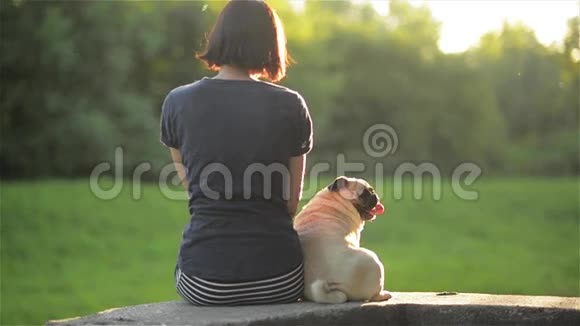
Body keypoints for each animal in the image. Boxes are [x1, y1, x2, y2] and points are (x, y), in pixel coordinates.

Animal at [292, 176, 392, 304]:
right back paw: (383, 295)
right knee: (374, 295)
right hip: (373, 261)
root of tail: (329, 281)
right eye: (365, 193)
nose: (374, 194)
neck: (336, 200)